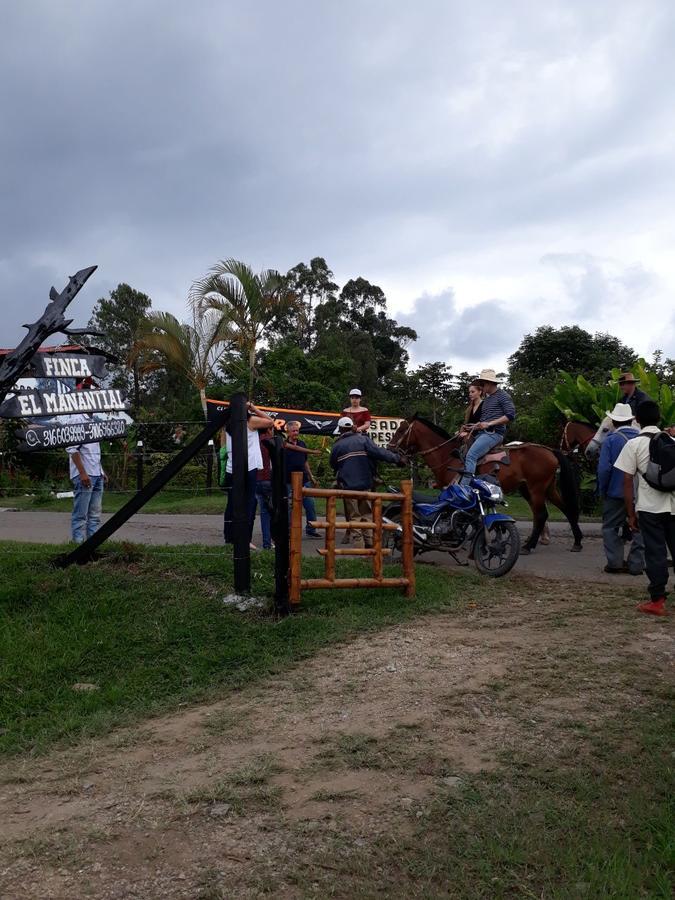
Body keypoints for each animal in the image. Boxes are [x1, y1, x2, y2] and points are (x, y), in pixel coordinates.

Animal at [388, 416, 584, 556]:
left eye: (402, 429)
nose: (390, 449)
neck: (448, 456)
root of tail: (550, 450)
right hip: (544, 488)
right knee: (566, 510)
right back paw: (577, 542)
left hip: (536, 488)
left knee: (541, 514)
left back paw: (528, 546)